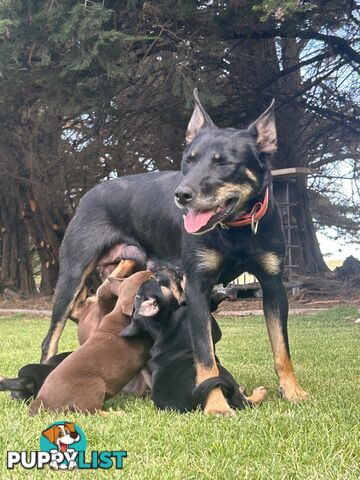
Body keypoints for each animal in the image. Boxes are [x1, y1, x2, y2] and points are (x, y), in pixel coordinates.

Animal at [121, 274, 268, 412]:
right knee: (242, 402)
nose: (152, 275)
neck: (162, 324)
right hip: (221, 372)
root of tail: (194, 398)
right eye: (154, 281)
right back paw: (257, 393)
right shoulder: (210, 329)